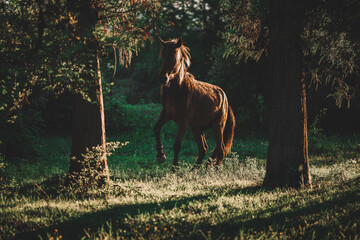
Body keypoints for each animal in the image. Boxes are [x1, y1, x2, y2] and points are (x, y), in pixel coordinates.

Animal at [155, 37, 236, 169]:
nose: (163, 78)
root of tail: (225, 99)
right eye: (163, 56)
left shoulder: (183, 121)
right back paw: (196, 169)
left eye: (174, 58)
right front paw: (161, 155)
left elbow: (177, 144)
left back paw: (216, 168)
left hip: (217, 126)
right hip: (197, 128)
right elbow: (156, 128)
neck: (178, 90)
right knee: (204, 149)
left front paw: (174, 167)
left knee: (221, 149)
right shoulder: (166, 114)